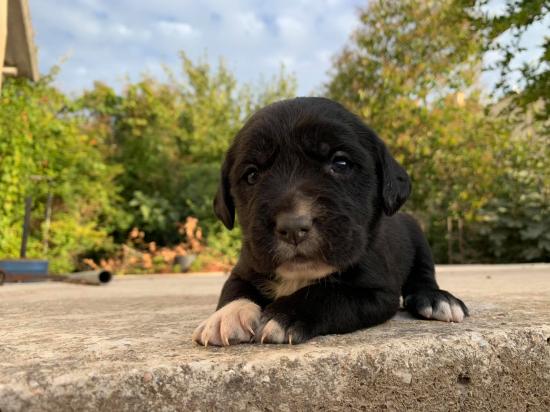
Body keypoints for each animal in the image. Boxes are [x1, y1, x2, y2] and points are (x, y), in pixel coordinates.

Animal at [192, 96, 468, 344]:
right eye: (251, 175)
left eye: (341, 163)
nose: (293, 228)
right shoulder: (246, 265)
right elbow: (233, 288)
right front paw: (227, 316)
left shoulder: (376, 292)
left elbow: (327, 294)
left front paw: (284, 315)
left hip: (418, 239)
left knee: (423, 275)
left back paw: (437, 299)